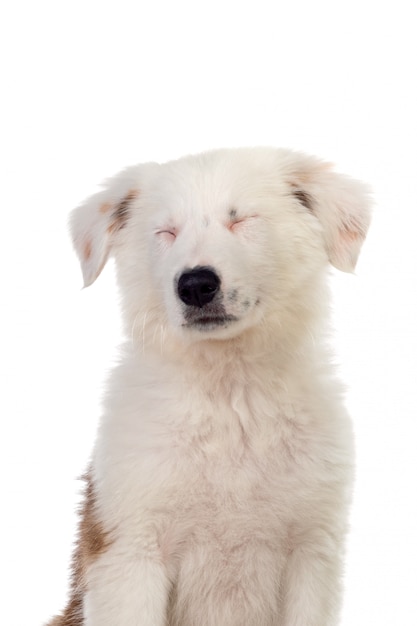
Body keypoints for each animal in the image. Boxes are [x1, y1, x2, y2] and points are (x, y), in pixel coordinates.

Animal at [48, 147, 370, 624]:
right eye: (167, 231)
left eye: (242, 220)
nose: (196, 285)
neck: (229, 393)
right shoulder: (129, 553)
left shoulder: (313, 552)